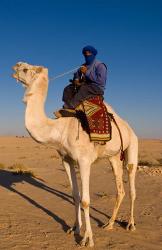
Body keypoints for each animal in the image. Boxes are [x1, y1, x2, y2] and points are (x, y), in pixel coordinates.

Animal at [12, 61, 138, 247]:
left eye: (26, 69)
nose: (15, 66)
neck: (60, 129)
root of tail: (130, 128)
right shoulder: (66, 159)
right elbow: (75, 196)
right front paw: (75, 229)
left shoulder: (84, 161)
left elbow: (85, 200)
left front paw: (87, 239)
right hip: (114, 157)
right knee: (120, 189)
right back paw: (109, 224)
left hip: (132, 147)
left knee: (131, 185)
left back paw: (130, 224)